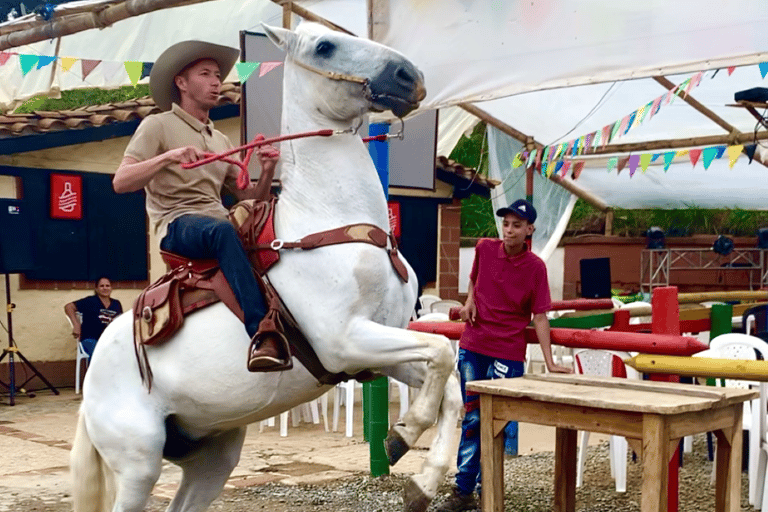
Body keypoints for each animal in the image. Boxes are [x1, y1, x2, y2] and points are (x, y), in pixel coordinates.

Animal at [69, 21, 460, 512]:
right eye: (324, 46)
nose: (410, 76)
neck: (327, 222)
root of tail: (91, 385)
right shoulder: (345, 342)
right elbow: (444, 352)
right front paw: (404, 433)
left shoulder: (382, 344)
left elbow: (451, 383)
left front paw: (419, 477)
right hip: (138, 465)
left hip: (213, 455)